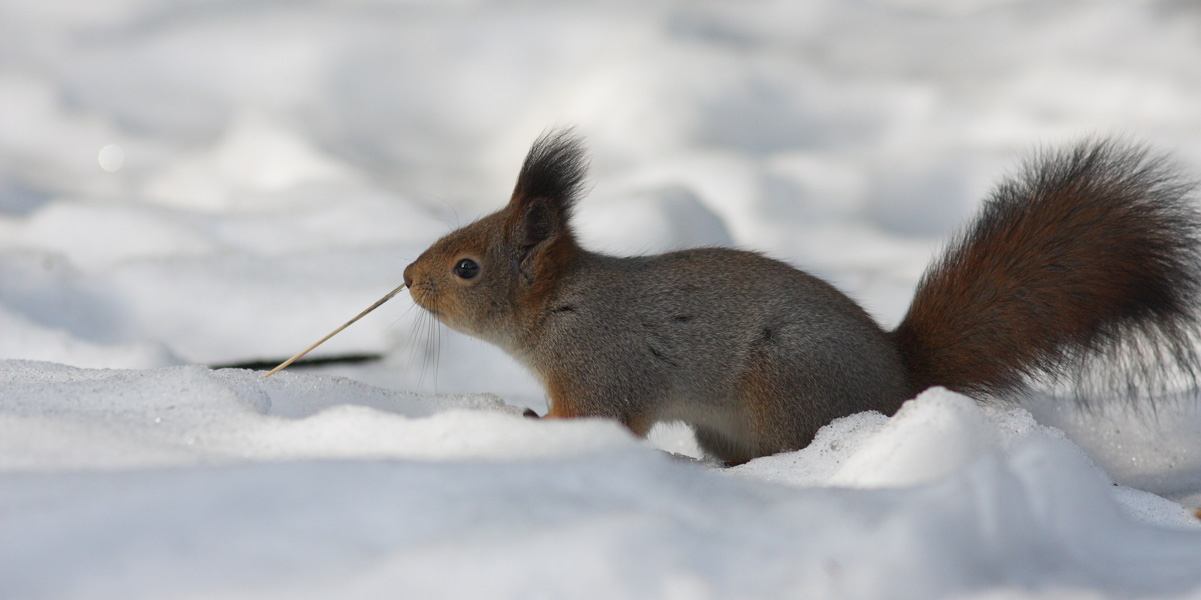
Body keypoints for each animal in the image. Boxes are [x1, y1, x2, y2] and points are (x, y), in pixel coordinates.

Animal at [403, 131, 1201, 463]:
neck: (560, 308)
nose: (408, 278)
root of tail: (900, 377)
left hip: (785, 385)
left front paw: (532, 426)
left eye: (466, 267)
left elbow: (598, 416)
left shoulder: (605, 363)